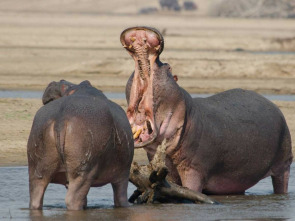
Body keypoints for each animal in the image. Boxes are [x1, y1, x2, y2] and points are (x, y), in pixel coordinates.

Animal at [27, 80, 134, 210]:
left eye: (63, 85)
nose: (56, 81)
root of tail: (61, 117)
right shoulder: (122, 175)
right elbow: (120, 199)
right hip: (84, 171)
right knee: (73, 200)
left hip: (37, 168)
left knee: (36, 196)